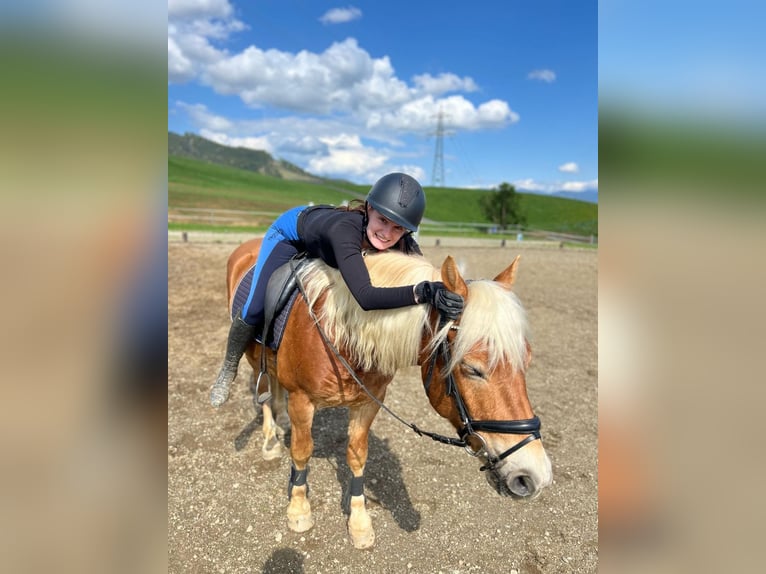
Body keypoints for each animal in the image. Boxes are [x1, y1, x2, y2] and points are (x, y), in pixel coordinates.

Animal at [216, 238, 552, 549]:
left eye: (527, 360)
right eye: (472, 368)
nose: (533, 475)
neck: (341, 331)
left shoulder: (368, 403)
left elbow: (357, 456)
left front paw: (359, 523)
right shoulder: (302, 400)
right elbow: (301, 452)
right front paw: (299, 509)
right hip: (253, 354)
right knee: (264, 393)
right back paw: (270, 440)